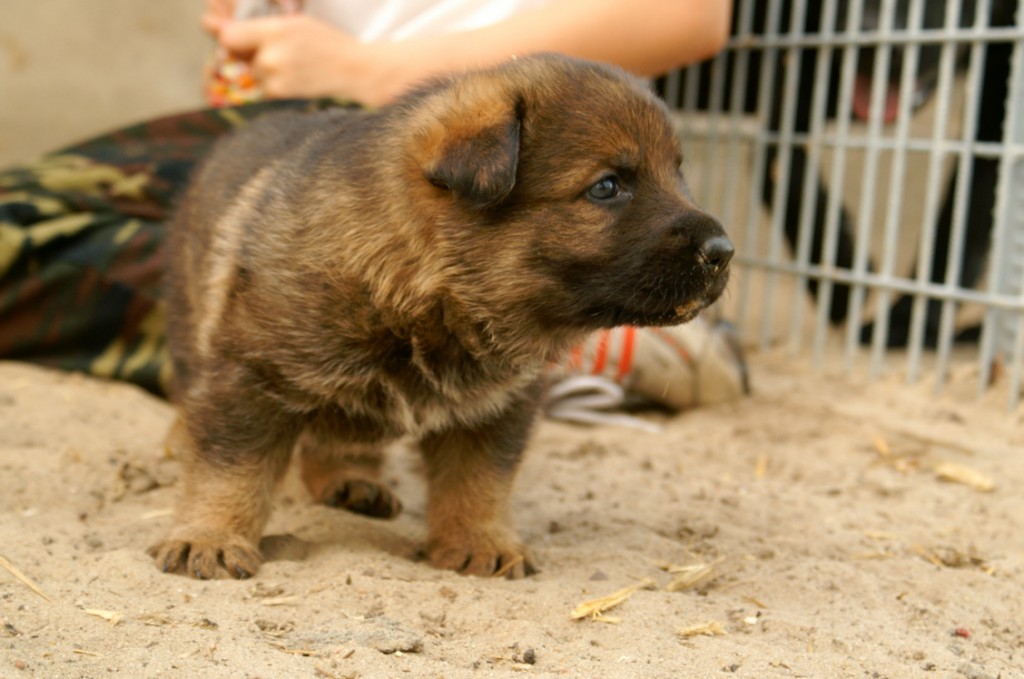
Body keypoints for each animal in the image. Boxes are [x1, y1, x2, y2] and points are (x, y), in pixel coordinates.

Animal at [148, 55, 733, 581]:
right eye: (607, 186)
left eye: (677, 172)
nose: (724, 251)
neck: (428, 292)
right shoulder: (251, 376)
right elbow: (231, 467)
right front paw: (211, 537)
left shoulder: (495, 406)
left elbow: (477, 482)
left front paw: (480, 543)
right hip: (190, 321)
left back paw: (349, 480)